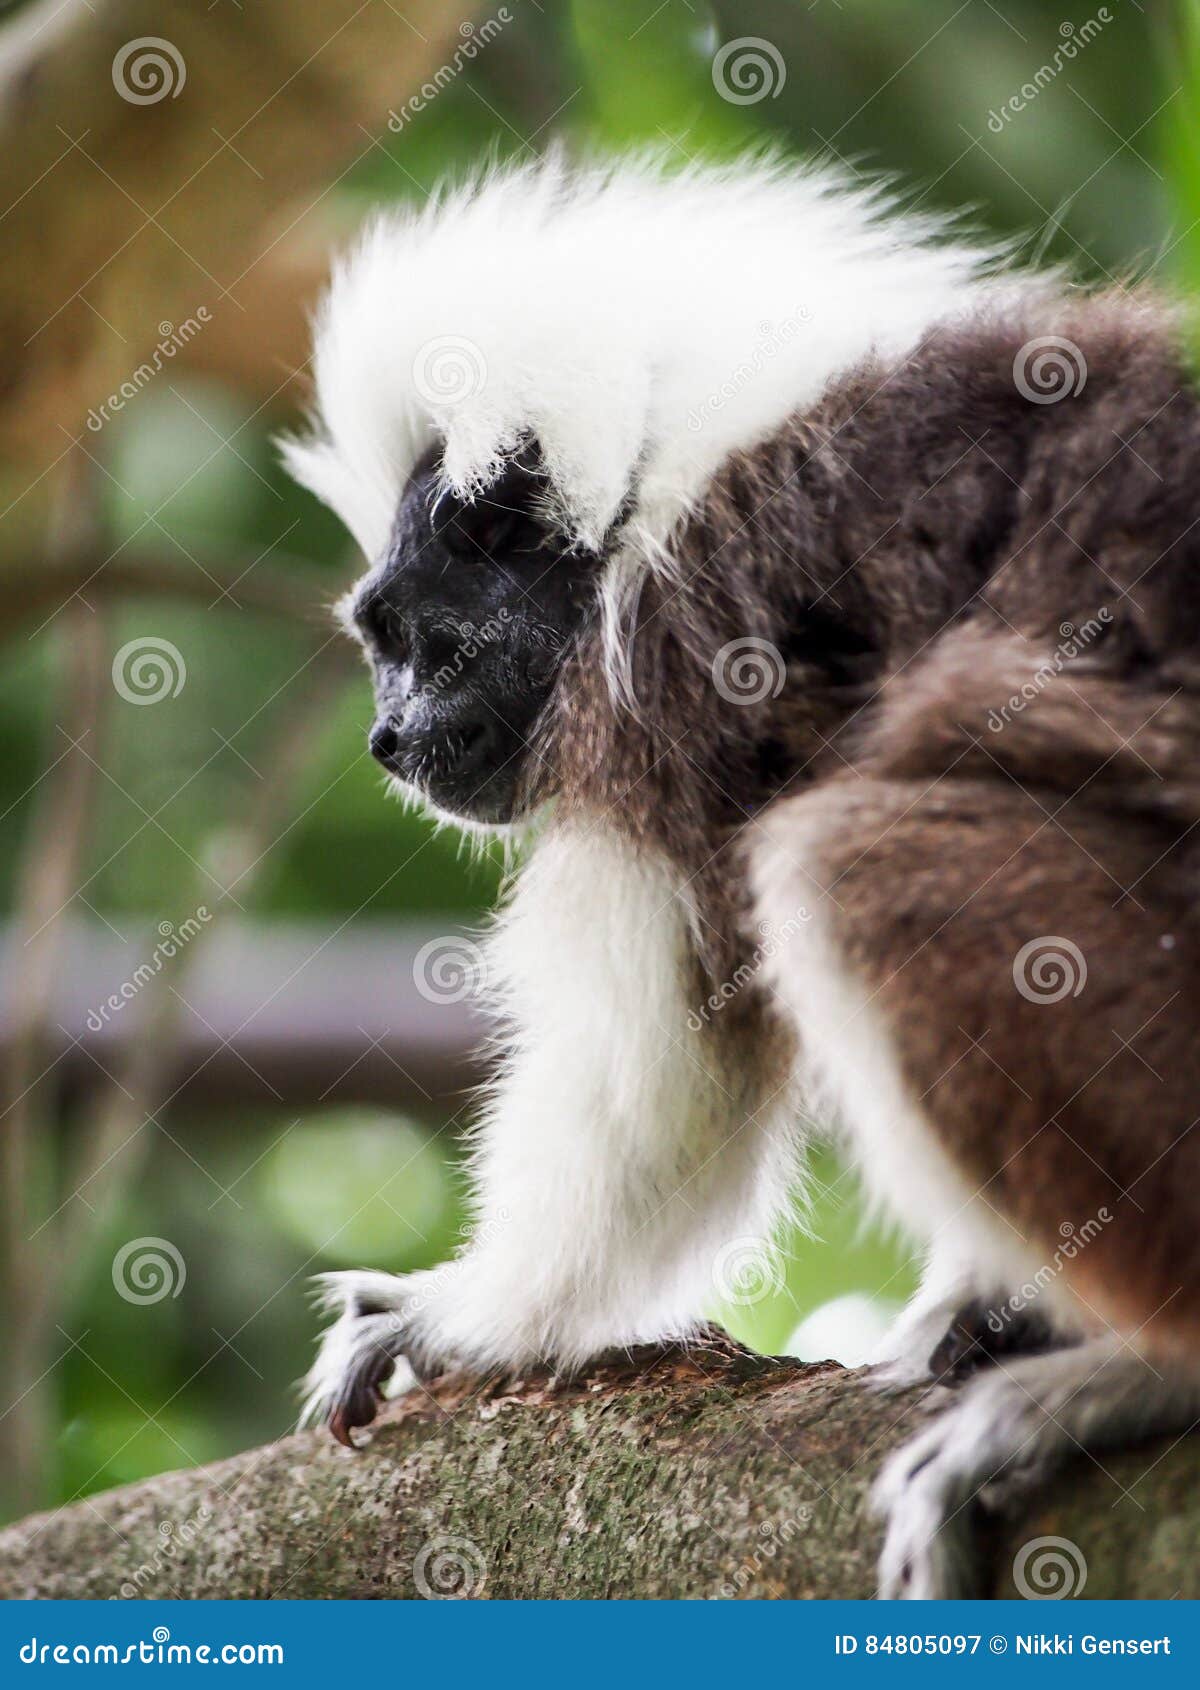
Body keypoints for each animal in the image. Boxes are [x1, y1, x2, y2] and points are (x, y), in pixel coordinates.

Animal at [282, 155, 1200, 1599]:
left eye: (410, 639)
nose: (385, 737)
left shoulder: (676, 652)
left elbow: (662, 1081)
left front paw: (467, 1315)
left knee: (854, 867)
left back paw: (1149, 1372)